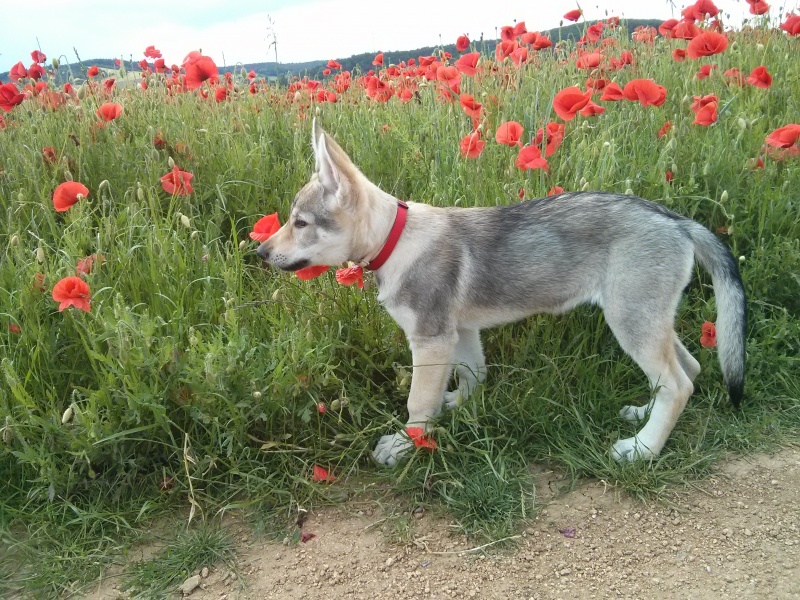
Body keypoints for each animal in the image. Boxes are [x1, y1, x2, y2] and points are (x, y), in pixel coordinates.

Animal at [260, 122, 748, 466]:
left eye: (301, 223)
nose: (260, 251)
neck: (394, 240)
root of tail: (678, 220)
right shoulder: (460, 332)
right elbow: (472, 376)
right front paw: (455, 409)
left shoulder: (430, 338)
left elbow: (418, 401)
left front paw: (407, 445)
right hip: (649, 320)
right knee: (688, 369)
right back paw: (643, 416)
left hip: (631, 321)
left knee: (679, 384)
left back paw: (642, 450)